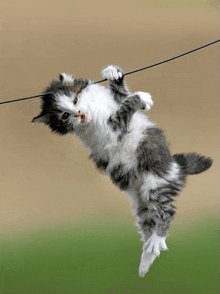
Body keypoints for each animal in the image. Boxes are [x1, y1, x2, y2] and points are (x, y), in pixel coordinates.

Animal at [31, 65, 212, 276]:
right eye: (65, 116)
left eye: (75, 100)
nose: (78, 113)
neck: (93, 108)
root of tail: (178, 167)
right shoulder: (112, 128)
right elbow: (124, 107)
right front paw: (140, 97)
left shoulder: (113, 106)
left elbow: (122, 96)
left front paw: (113, 74)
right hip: (149, 194)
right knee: (165, 213)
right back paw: (151, 250)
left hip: (153, 185)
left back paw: (148, 255)